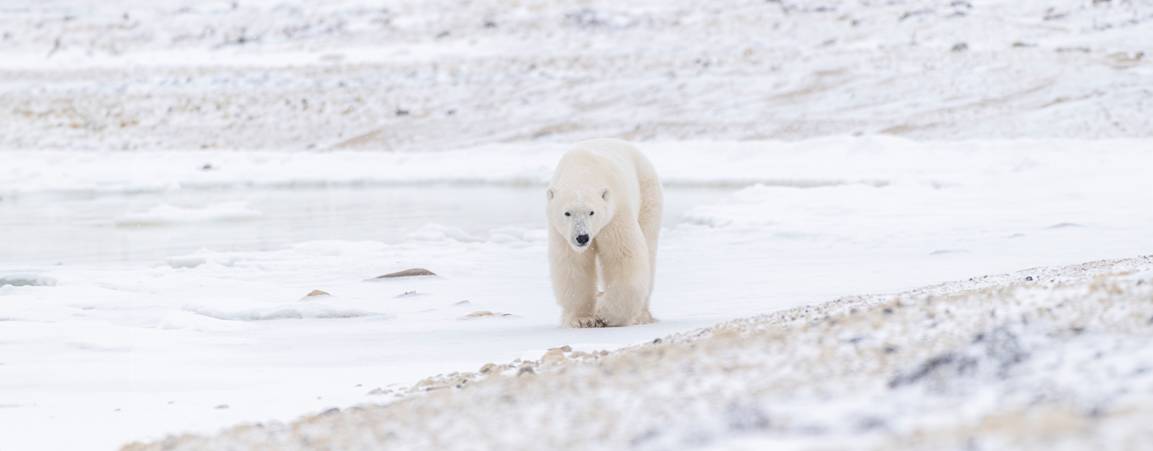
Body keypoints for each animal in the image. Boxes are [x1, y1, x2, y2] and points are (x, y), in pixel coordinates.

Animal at [546, 139, 663, 327]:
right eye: (567, 213)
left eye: (591, 212)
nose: (582, 237)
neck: (583, 168)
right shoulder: (562, 234)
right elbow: (573, 265)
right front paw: (582, 319)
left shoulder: (614, 214)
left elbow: (623, 257)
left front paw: (605, 314)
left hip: (648, 192)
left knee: (649, 248)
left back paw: (641, 316)